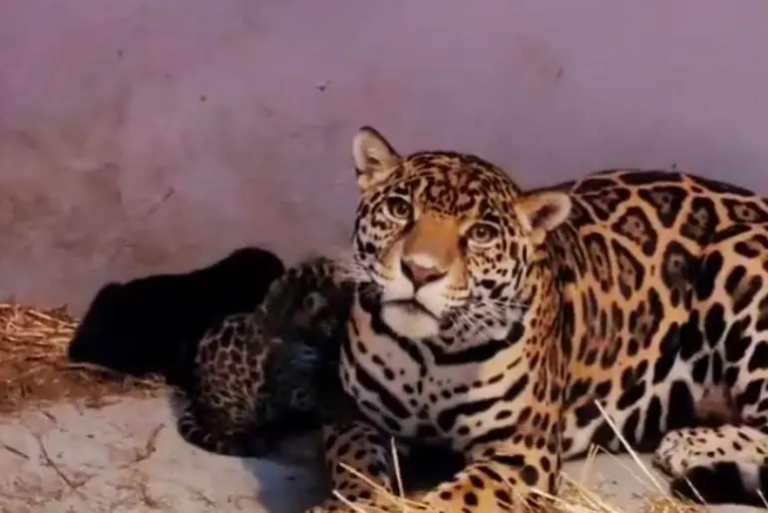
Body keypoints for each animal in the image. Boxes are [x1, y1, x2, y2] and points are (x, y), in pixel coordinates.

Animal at [305, 125, 768, 512]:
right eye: (400, 209)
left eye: (481, 234)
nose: (420, 271)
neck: (429, 354)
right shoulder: (349, 411)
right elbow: (356, 463)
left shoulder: (523, 449)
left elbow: (451, 500)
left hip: (738, 261)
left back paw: (690, 444)